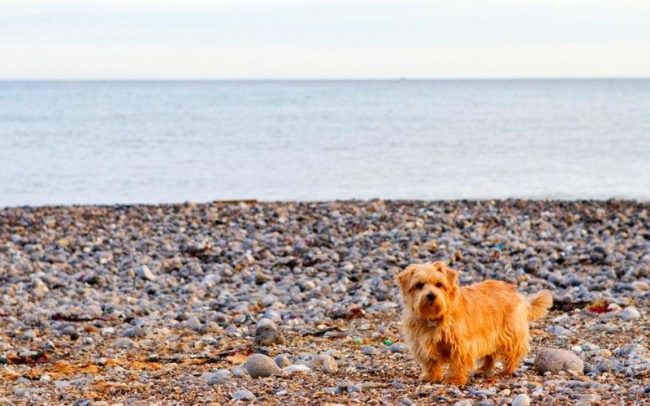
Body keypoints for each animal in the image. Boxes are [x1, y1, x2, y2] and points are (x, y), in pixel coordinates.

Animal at [392, 262, 548, 386]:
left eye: (439, 284)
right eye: (419, 285)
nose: (431, 295)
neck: (433, 317)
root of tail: (518, 294)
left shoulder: (461, 345)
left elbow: (457, 363)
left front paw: (454, 380)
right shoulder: (422, 344)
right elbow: (431, 363)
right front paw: (432, 377)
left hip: (510, 334)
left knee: (513, 353)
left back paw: (507, 371)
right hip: (490, 336)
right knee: (490, 356)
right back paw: (483, 369)